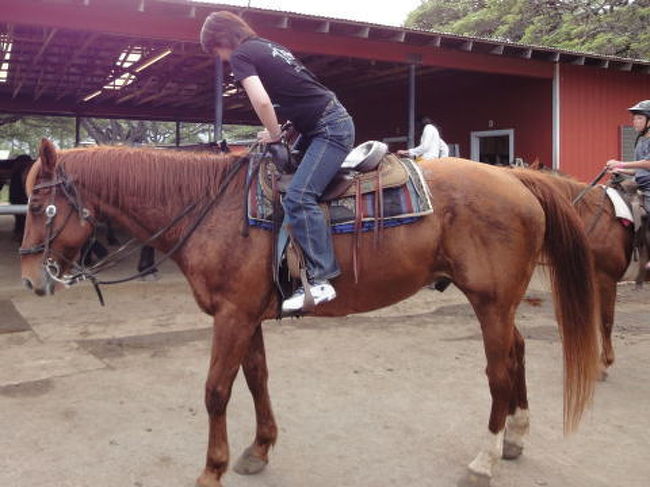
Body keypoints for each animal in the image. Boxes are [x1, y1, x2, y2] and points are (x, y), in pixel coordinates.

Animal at [19, 141, 596, 487]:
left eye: (42, 205)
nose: (28, 278)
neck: (214, 209)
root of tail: (517, 180)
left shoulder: (231, 316)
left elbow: (216, 390)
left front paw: (212, 469)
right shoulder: (246, 314)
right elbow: (256, 377)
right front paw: (258, 449)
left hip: (490, 301)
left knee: (499, 368)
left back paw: (485, 458)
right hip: (500, 302)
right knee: (518, 352)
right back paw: (516, 437)